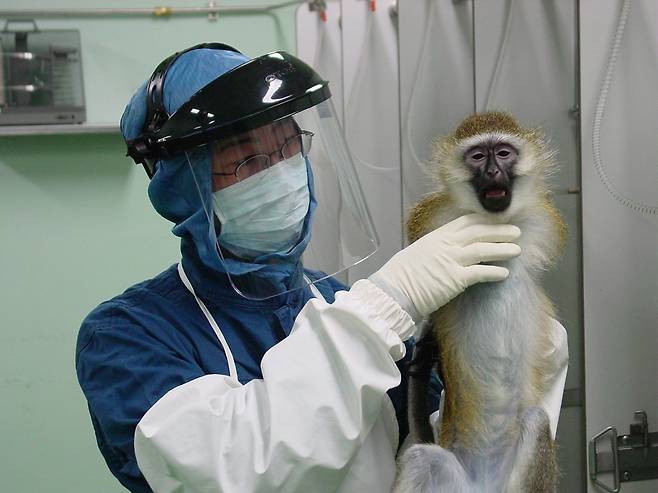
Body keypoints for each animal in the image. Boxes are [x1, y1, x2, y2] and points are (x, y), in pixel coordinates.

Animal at [386, 112, 568, 492]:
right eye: (478, 156)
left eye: (503, 153)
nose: (493, 172)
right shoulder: (433, 219)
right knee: (421, 456)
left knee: (536, 419)